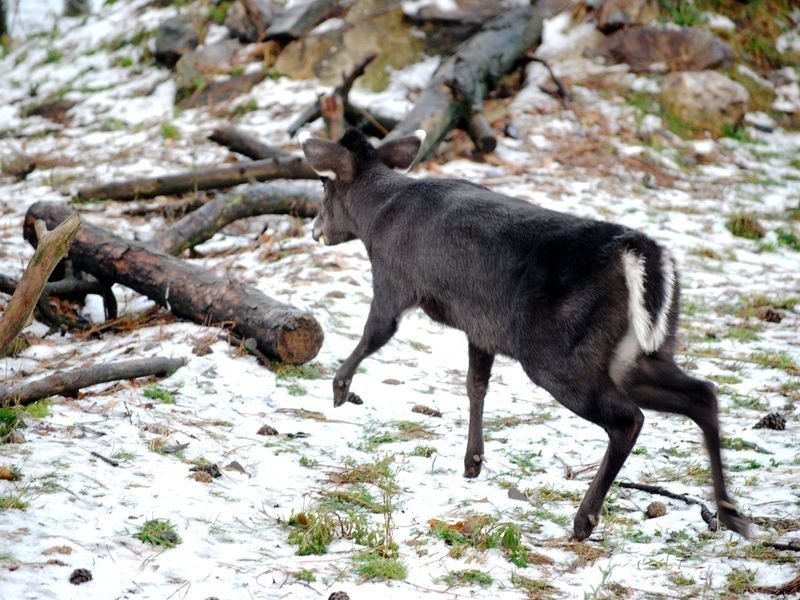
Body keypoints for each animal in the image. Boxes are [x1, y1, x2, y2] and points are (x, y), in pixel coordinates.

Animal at [298, 129, 752, 540]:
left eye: (324, 184)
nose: (315, 229)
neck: (380, 216)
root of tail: (641, 254)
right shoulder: (480, 327)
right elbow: (476, 384)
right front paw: (473, 462)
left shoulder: (394, 280)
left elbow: (374, 334)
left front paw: (339, 391)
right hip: (643, 350)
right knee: (702, 393)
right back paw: (731, 514)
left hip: (557, 353)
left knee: (630, 418)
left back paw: (584, 520)